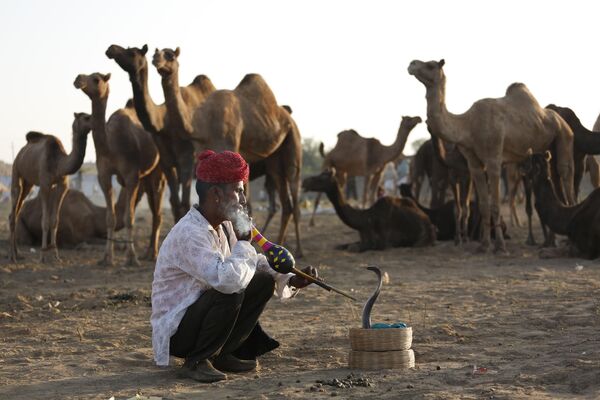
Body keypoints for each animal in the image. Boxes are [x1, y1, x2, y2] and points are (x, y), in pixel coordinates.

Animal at [8, 112, 92, 262]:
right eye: (86, 117)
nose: (96, 121)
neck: (58, 162)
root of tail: (21, 152)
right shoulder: (45, 184)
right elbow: (45, 221)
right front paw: (42, 255)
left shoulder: (62, 185)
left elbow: (54, 220)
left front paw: (56, 255)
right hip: (16, 171)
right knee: (13, 211)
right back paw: (12, 256)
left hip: (28, 183)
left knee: (16, 212)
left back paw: (18, 253)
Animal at [106, 43, 216, 222]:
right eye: (155, 53)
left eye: (132, 53)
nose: (111, 49)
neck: (163, 122)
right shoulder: (166, 161)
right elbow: (175, 202)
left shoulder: (187, 158)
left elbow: (185, 202)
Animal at [149, 47, 302, 253]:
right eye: (156, 52)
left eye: (170, 56)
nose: (156, 60)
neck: (201, 124)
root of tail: (289, 118)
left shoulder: (230, 145)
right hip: (274, 160)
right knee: (285, 201)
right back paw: (280, 243)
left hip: (293, 140)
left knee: (294, 189)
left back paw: (298, 249)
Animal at [302, 168, 434, 250]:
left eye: (321, 178)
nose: (304, 182)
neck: (365, 220)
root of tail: (429, 222)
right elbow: (343, 246)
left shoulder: (384, 243)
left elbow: (353, 248)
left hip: (422, 237)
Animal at [408, 58, 576, 253]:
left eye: (430, 65)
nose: (412, 64)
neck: (468, 125)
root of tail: (561, 120)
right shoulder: (474, 165)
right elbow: (483, 205)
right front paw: (484, 245)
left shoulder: (494, 160)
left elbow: (495, 206)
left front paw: (500, 247)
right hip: (547, 149)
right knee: (555, 180)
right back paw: (550, 241)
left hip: (564, 136)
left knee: (566, 177)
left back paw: (567, 240)